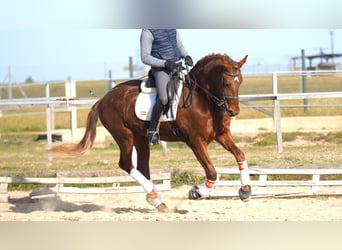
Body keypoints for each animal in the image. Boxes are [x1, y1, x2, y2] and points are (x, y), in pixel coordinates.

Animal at [52, 54, 252, 211]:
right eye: (226, 82)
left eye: (240, 81)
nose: (234, 112)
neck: (203, 99)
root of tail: (103, 99)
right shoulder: (195, 142)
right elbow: (212, 172)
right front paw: (197, 192)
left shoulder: (221, 135)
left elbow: (240, 154)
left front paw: (245, 190)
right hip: (125, 137)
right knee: (127, 165)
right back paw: (155, 198)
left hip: (140, 138)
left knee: (142, 167)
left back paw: (157, 200)